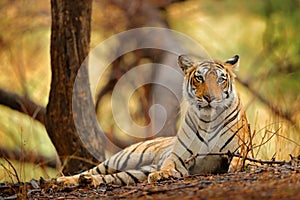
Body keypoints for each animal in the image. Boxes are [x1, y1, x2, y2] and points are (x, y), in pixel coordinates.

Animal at [56, 54, 251, 186]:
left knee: (110, 177)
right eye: (199, 78)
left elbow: (240, 160)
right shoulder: (179, 156)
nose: (210, 98)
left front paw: (238, 167)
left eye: (221, 79)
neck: (208, 120)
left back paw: (88, 181)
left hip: (135, 172)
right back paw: (65, 180)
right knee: (95, 169)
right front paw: (162, 174)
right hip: (122, 158)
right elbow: (169, 165)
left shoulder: (239, 149)